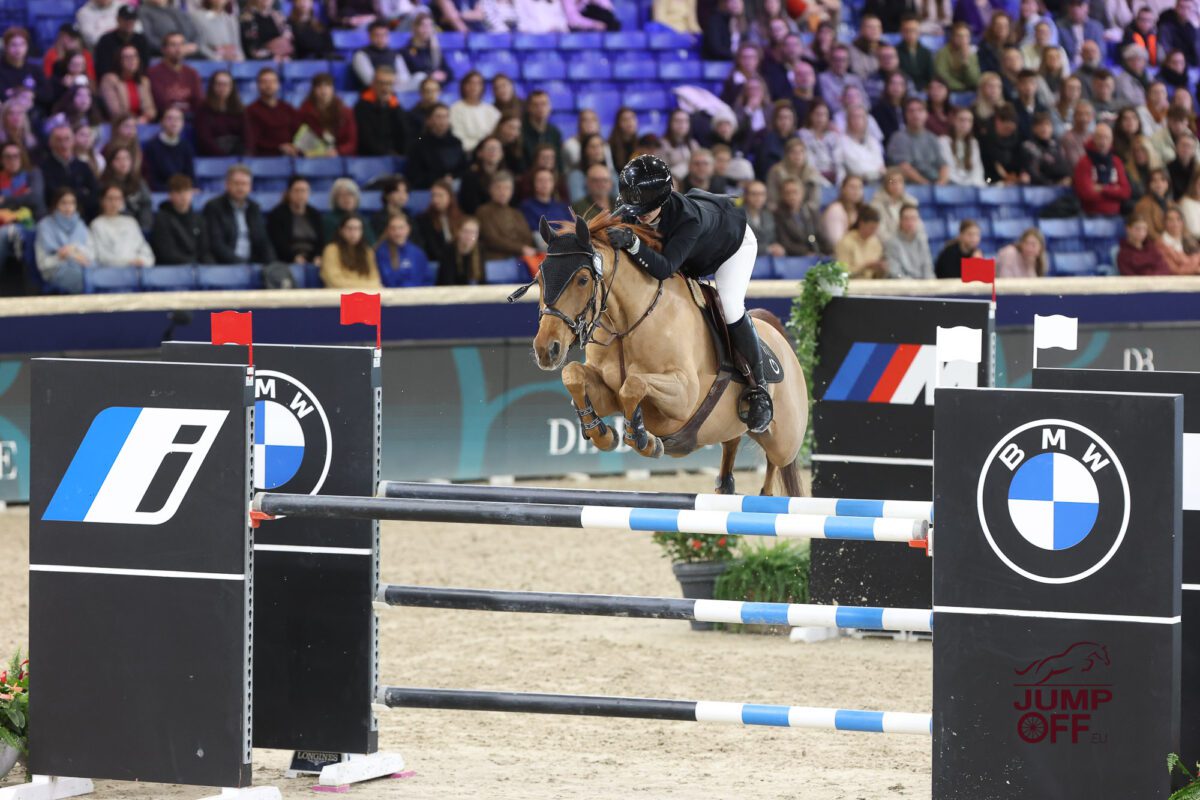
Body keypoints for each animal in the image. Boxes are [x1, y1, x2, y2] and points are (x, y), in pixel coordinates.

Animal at [512, 213, 808, 497]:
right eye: (540, 278)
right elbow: (573, 374)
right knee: (732, 442)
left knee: (776, 462)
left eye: (583, 280)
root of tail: (778, 337)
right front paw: (603, 434)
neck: (628, 325)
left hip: (784, 439)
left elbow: (633, 385)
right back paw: (725, 484)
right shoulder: (606, 392)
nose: (546, 350)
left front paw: (644, 439)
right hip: (730, 426)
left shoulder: (684, 395)